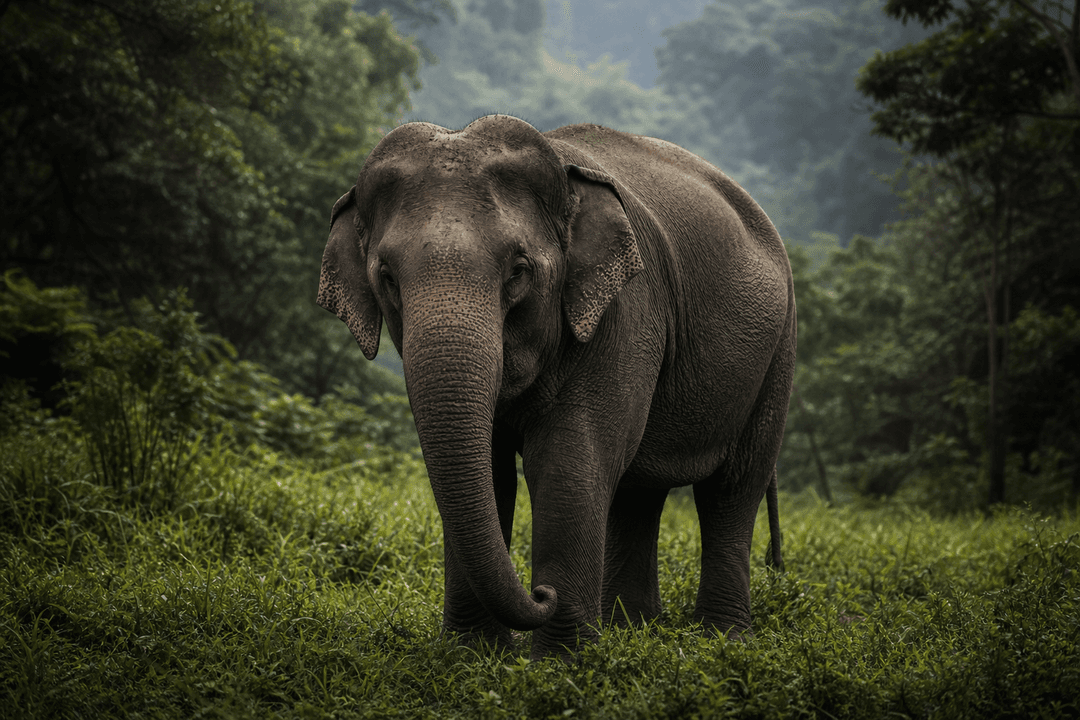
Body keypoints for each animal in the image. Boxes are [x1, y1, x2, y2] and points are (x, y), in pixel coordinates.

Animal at [318, 115, 795, 659]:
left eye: (519, 271)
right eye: (388, 278)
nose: (541, 593)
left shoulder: (625, 310)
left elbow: (569, 461)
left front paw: (561, 661)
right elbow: (491, 473)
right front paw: (471, 655)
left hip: (778, 350)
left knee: (732, 487)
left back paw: (723, 641)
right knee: (639, 490)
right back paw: (633, 630)